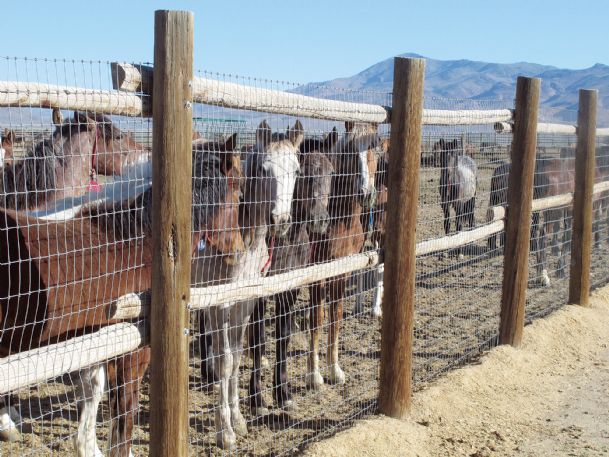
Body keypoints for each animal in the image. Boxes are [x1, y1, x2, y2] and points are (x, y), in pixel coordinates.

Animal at [0, 141, 242, 454]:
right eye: (238, 193)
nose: (238, 251)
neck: (136, 240)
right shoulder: (132, 354)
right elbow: (124, 420)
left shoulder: (96, 344)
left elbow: (94, 399)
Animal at [192, 119, 302, 448]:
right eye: (265, 169)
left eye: (297, 170)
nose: (281, 220)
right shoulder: (219, 303)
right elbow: (225, 361)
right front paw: (224, 432)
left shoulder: (246, 301)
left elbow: (239, 355)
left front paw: (239, 420)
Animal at [246, 149, 332, 414]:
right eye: (305, 174)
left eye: (332, 171)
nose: (320, 220)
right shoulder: (259, 293)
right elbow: (259, 340)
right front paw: (257, 399)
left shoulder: (290, 289)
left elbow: (283, 336)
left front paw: (283, 394)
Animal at [306, 120, 378, 388]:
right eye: (349, 151)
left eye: (375, 148)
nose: (366, 193)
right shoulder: (317, 272)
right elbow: (317, 318)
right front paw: (314, 375)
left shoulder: (342, 269)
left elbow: (335, 317)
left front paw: (335, 370)